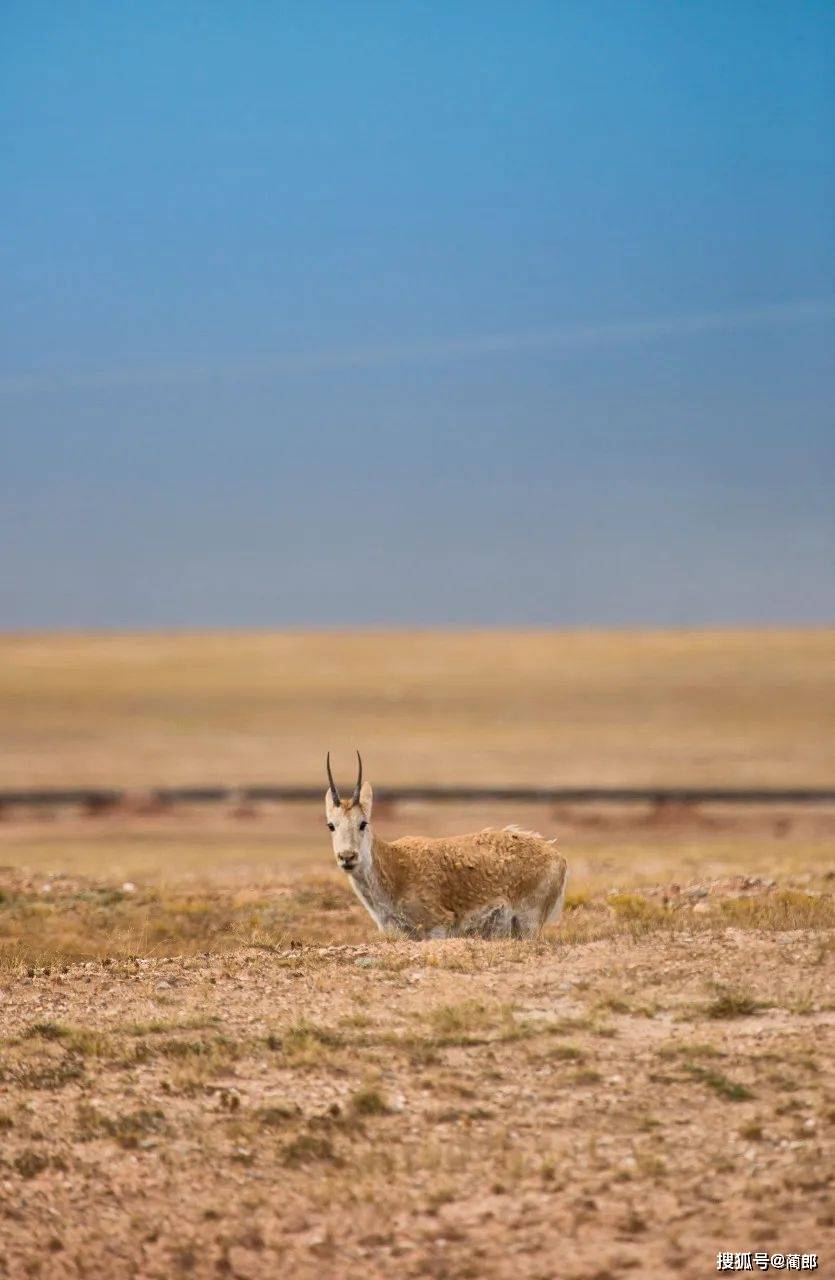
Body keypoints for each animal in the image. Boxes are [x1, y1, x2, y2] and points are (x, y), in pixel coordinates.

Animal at [326, 747, 568, 942]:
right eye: (331, 825)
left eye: (363, 823)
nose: (347, 857)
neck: (395, 865)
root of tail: (558, 857)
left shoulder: (437, 927)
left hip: (529, 923)